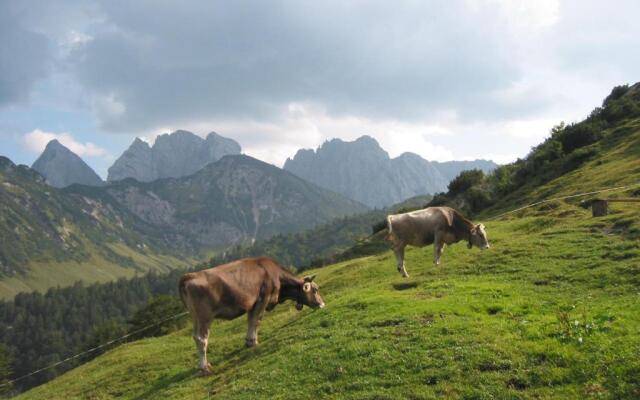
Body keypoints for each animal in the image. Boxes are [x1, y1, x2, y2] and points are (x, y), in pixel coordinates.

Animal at [178, 258, 324, 374]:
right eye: (315, 290)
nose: (322, 304)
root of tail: (188, 276)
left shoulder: (251, 303)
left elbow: (250, 321)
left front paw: (248, 341)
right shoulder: (262, 299)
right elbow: (256, 321)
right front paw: (253, 341)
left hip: (195, 318)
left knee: (195, 337)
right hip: (205, 317)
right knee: (201, 338)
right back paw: (204, 367)